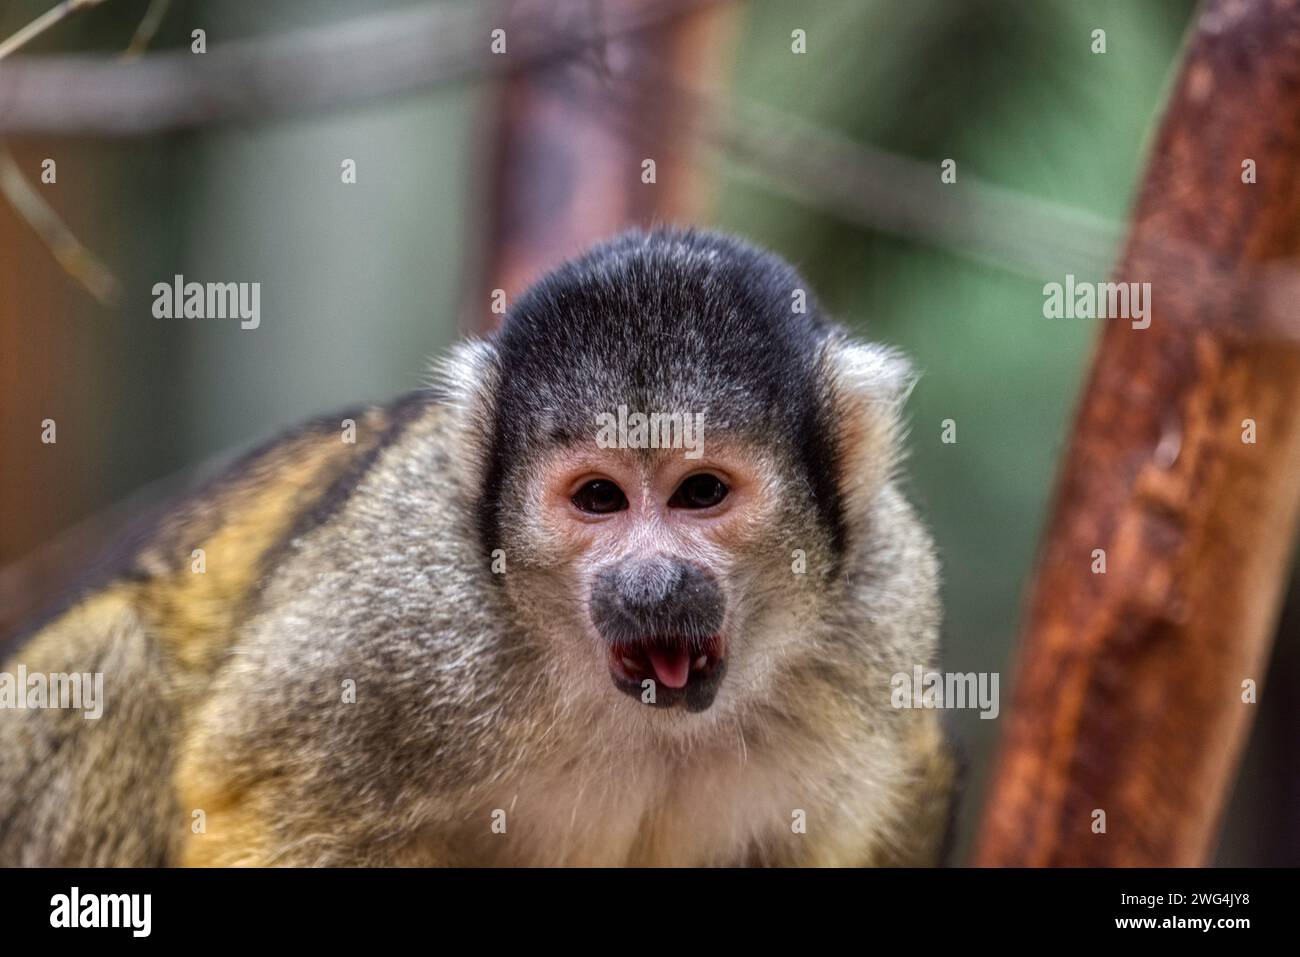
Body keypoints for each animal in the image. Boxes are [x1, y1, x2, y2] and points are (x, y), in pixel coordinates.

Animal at [0, 227, 955, 867]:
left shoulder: (885, 600)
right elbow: (253, 791)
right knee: (111, 657)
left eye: (702, 492)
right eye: (599, 497)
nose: (650, 583)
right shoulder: (407, 606)